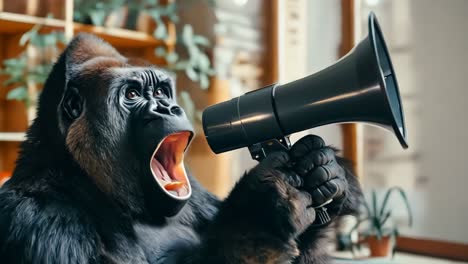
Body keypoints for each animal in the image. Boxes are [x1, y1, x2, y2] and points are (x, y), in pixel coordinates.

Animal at [0, 34, 362, 262]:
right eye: (132, 95)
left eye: (162, 92)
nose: (169, 108)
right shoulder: (39, 215)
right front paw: (261, 211)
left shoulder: (197, 195)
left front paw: (323, 172)